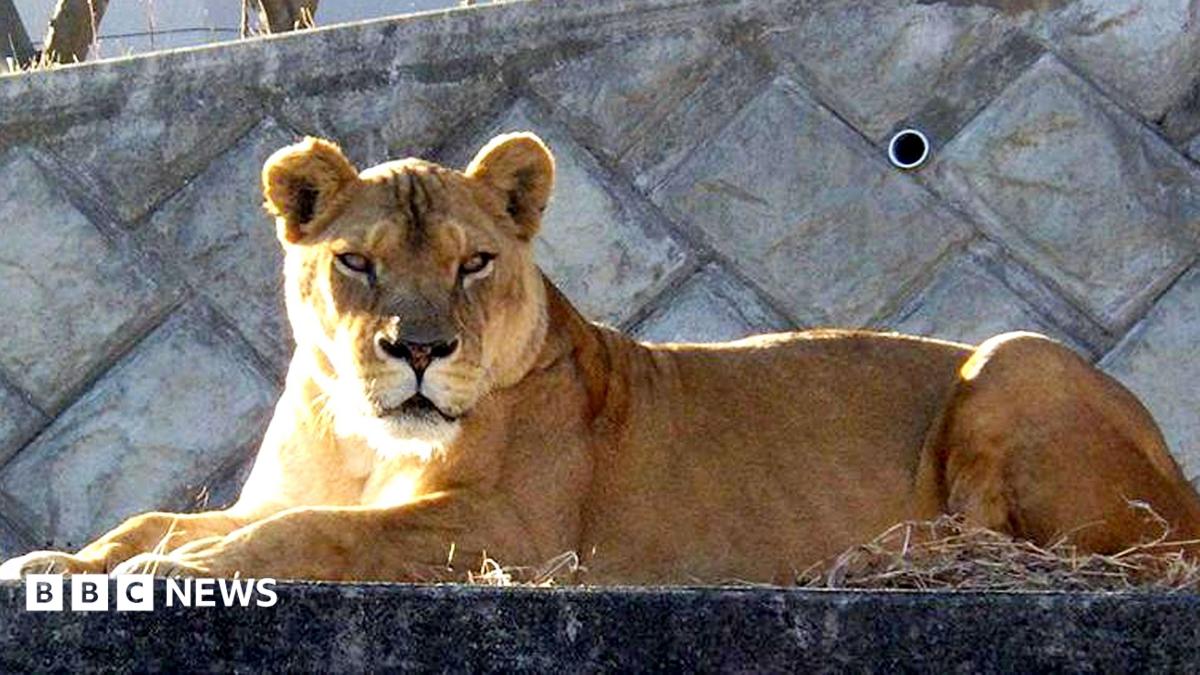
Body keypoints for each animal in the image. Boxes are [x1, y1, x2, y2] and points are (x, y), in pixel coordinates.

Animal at [4, 132, 1199, 584]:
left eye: (474, 261)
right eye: (357, 262)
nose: (419, 349)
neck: (362, 431)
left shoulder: (514, 533)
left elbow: (317, 534)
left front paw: (171, 575)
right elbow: (161, 516)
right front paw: (63, 561)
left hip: (1012, 356)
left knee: (1098, 553)